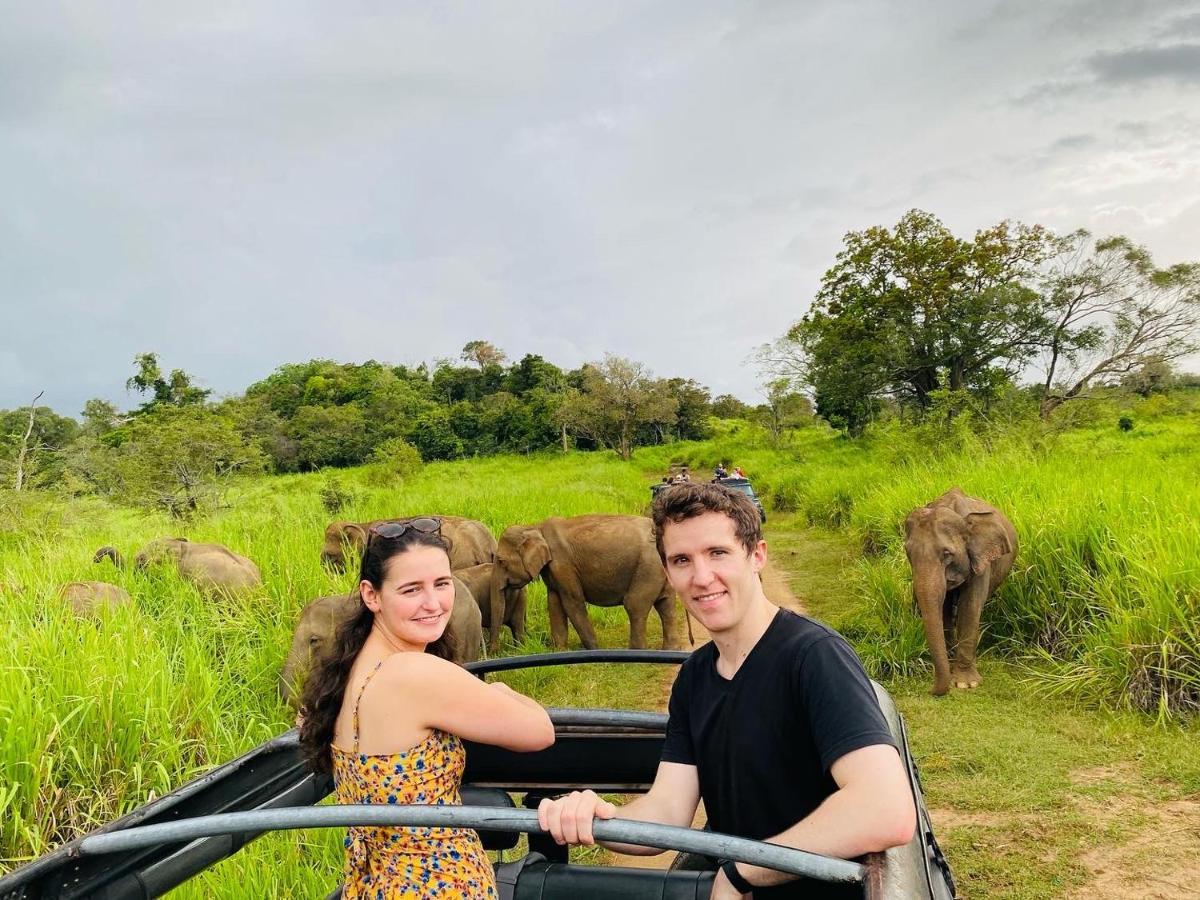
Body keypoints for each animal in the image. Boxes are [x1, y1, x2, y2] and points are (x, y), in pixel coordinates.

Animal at [489, 513, 686, 657]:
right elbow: (554, 603)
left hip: (647, 567)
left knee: (634, 604)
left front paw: (594, 650)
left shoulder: (563, 564)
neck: (535, 527)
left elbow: (572, 602)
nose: (494, 653)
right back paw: (670, 650)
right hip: (659, 570)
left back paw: (637, 653)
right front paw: (558, 651)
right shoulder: (553, 570)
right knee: (666, 604)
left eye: (501, 561)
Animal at [902, 487, 1017, 696]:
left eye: (947, 554)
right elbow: (944, 610)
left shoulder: (980, 559)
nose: (931, 690)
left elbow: (970, 606)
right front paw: (951, 666)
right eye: (908, 553)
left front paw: (965, 683)